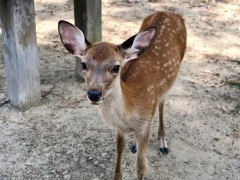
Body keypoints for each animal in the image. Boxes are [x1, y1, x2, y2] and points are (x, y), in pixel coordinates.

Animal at [58, 11, 188, 180]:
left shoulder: (146, 122)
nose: (94, 93)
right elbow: (119, 148)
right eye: (84, 64)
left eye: (116, 67)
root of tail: (172, 13)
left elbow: (141, 167)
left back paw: (163, 143)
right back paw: (135, 144)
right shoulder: (120, 127)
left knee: (162, 103)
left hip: (170, 80)